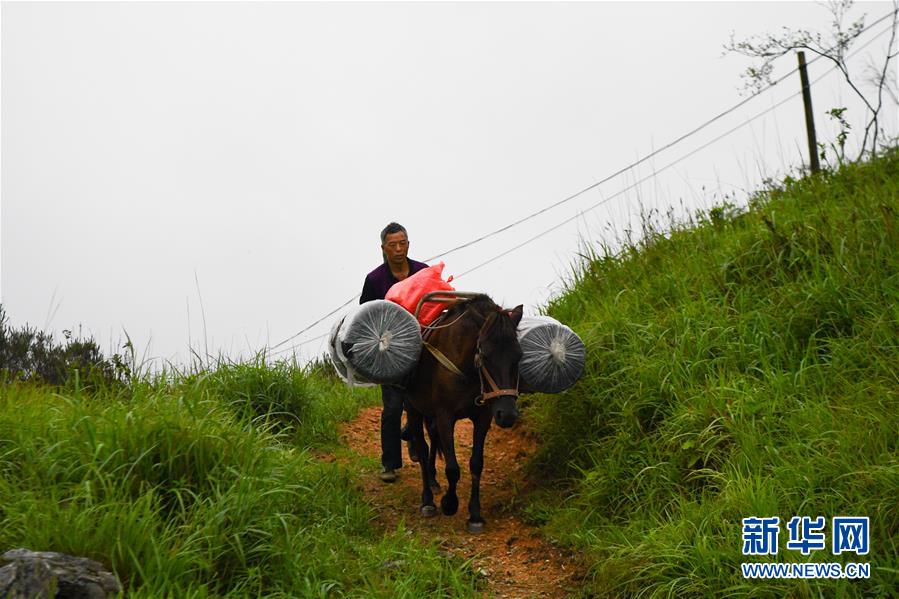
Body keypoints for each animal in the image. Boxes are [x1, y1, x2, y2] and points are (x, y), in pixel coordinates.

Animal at [404, 296, 524, 536]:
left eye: (519, 356)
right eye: (485, 355)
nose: (507, 415)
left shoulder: (483, 418)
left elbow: (476, 463)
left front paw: (475, 515)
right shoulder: (444, 416)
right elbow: (452, 468)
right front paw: (449, 503)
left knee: (432, 440)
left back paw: (433, 480)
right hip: (413, 408)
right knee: (421, 447)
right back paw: (428, 501)